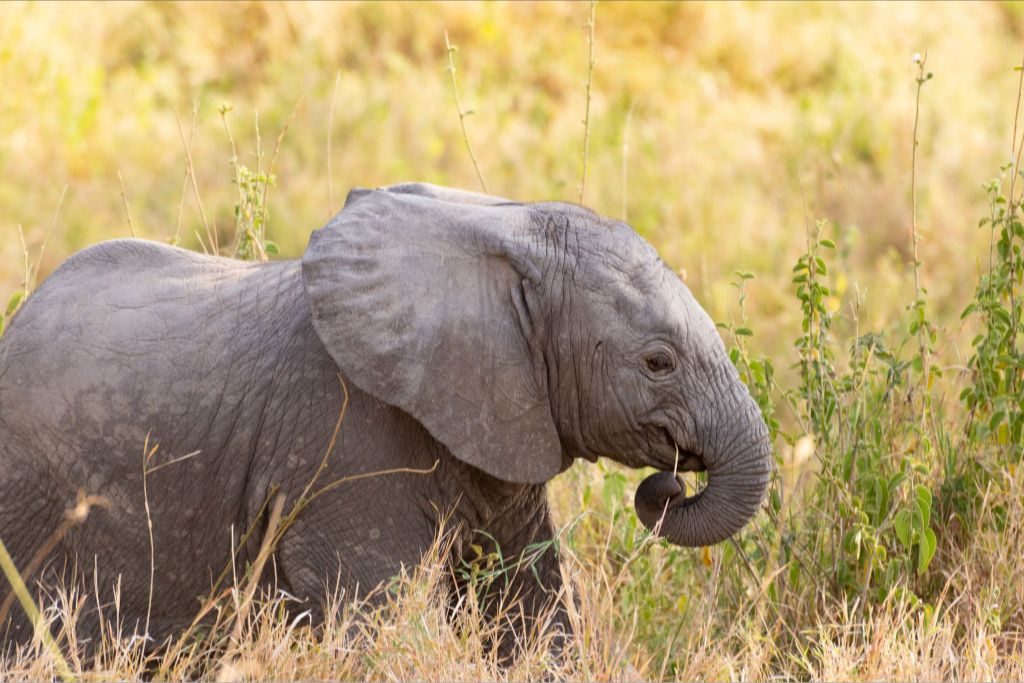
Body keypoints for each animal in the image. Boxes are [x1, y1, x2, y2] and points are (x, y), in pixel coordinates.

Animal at [0, 181, 770, 651]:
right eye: (658, 362)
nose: (669, 483)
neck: (501, 232)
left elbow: (527, 606)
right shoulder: (342, 439)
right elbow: (375, 616)